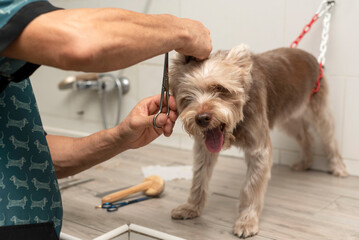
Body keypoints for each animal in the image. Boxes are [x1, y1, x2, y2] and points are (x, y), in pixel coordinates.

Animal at [169, 45, 348, 238]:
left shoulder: (259, 149)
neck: (237, 123)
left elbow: (251, 186)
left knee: (329, 138)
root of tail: (313, 58)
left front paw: (246, 222)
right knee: (305, 136)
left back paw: (338, 168)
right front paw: (191, 208)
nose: (202, 118)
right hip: (288, 115)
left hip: (318, 110)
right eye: (187, 97)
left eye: (220, 88)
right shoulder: (204, 149)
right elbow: (199, 177)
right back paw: (305, 162)